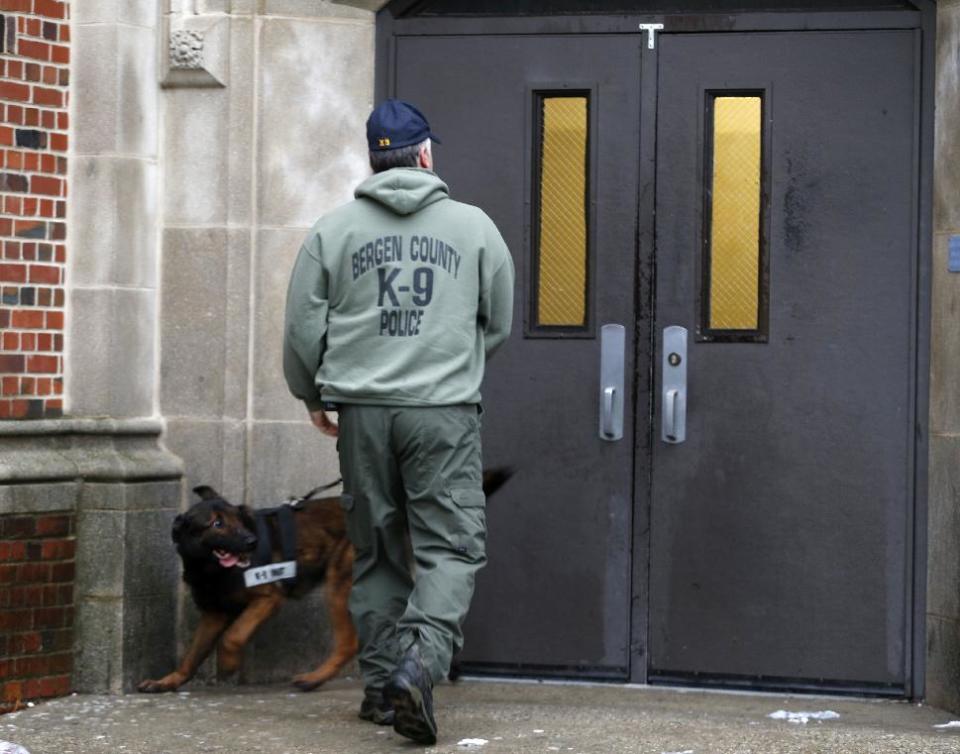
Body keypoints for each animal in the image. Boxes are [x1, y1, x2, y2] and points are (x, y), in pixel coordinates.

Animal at [137, 470, 510, 692]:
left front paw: (228, 663)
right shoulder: (213, 615)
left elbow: (234, 636)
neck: (211, 568)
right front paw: (167, 681)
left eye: (237, 520)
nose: (251, 542)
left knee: (348, 643)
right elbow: (191, 655)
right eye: (216, 523)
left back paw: (315, 678)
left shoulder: (267, 599)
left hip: (339, 586)